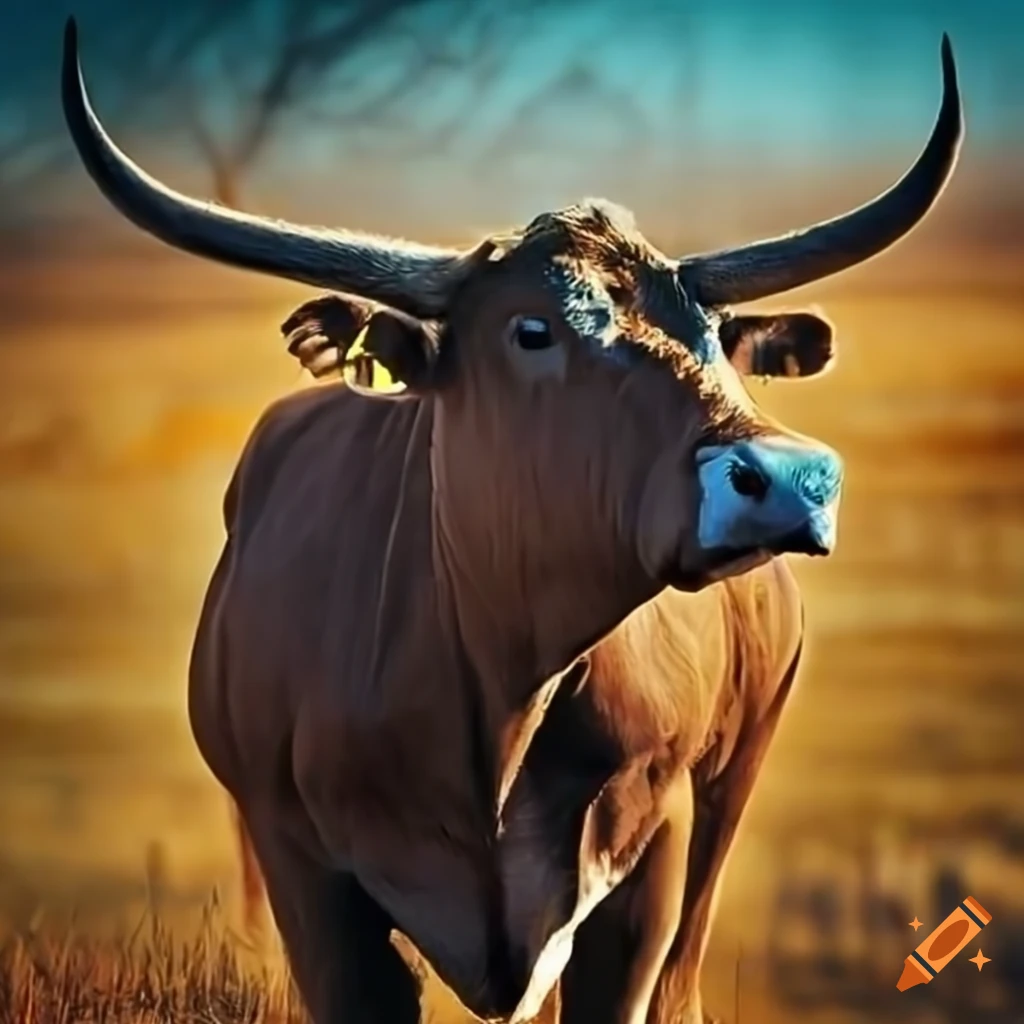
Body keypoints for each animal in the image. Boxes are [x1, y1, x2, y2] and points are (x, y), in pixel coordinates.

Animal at [61, 17, 962, 1024]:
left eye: (716, 337)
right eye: (532, 329)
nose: (786, 476)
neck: (497, 696)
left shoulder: (652, 859)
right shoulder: (302, 868)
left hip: (732, 789)